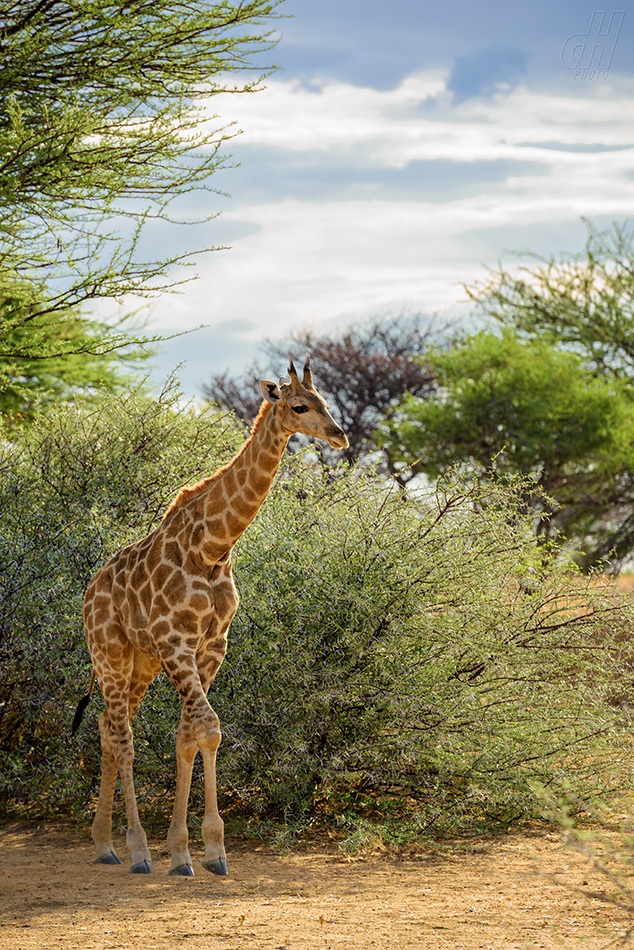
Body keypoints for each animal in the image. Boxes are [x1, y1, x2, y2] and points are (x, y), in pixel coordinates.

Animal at [75, 356, 350, 876]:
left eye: (326, 401)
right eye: (299, 406)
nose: (339, 435)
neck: (213, 548)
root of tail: (88, 592)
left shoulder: (212, 644)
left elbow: (189, 735)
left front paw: (191, 852)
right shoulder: (175, 642)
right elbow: (208, 727)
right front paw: (202, 850)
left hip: (140, 664)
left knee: (105, 726)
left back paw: (103, 845)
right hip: (111, 655)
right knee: (123, 737)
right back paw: (135, 850)